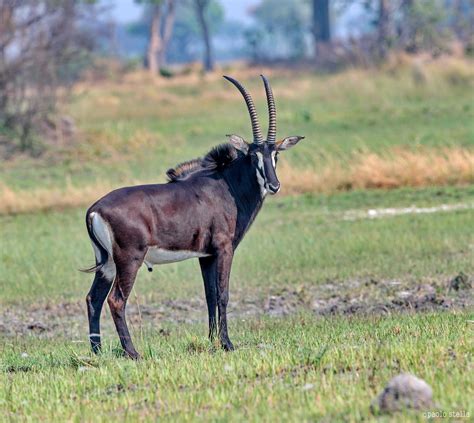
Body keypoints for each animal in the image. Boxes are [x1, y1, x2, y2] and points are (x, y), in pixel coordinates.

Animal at [84, 75, 306, 358]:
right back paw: (133, 353)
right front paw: (227, 343)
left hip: (107, 263)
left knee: (94, 299)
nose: (274, 185)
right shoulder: (224, 249)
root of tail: (95, 209)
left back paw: (97, 352)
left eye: (275, 154)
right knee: (115, 300)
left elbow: (209, 294)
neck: (227, 185)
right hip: (129, 260)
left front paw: (213, 341)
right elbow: (222, 294)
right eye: (252, 154)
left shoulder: (206, 255)